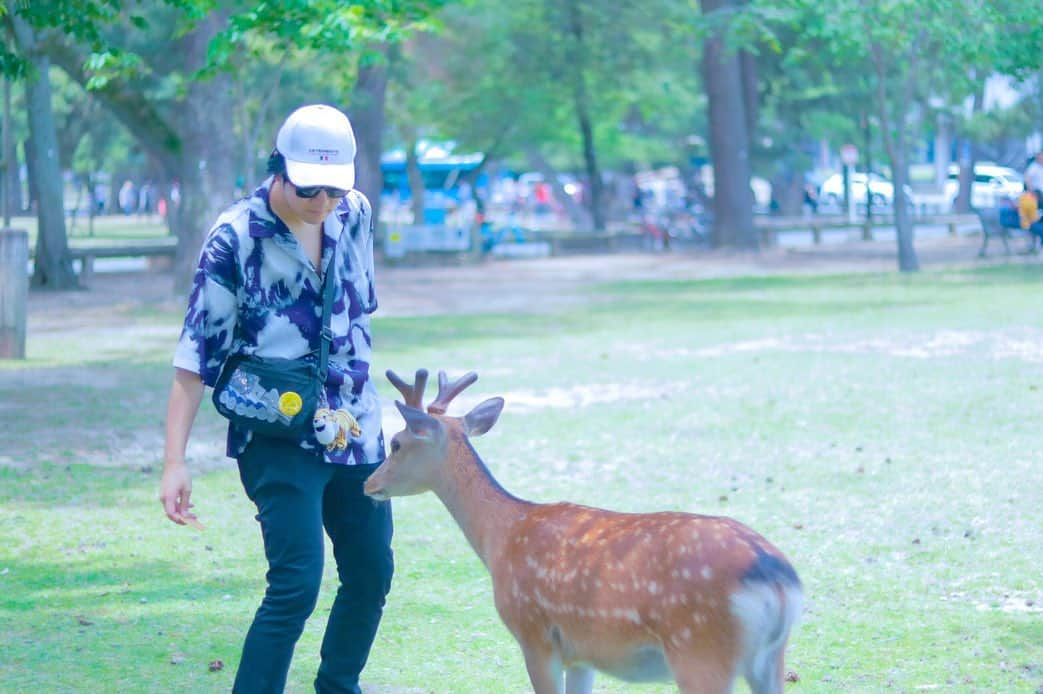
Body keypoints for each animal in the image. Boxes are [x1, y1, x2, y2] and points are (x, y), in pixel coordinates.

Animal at [367, 367, 805, 692]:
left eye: (396, 443)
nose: (368, 484)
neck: (500, 539)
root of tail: (777, 578)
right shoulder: (581, 653)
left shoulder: (535, 634)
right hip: (769, 658)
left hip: (700, 651)